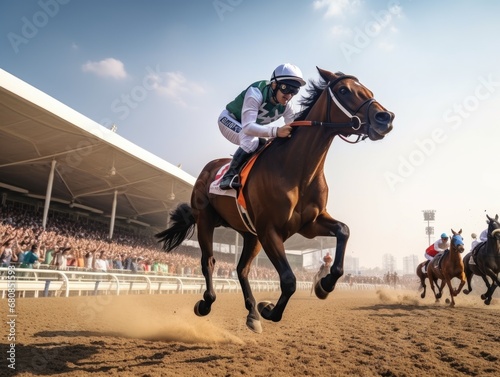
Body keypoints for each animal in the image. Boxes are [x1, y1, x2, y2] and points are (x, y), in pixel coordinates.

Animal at [156, 67, 394, 332]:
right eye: (344, 90)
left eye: (369, 90)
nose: (385, 117)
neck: (298, 170)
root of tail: (208, 169)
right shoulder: (269, 230)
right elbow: (289, 280)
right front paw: (268, 309)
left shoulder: (309, 224)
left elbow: (344, 231)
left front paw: (325, 285)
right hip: (206, 220)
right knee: (209, 261)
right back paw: (207, 303)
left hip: (250, 234)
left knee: (242, 269)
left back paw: (251, 312)